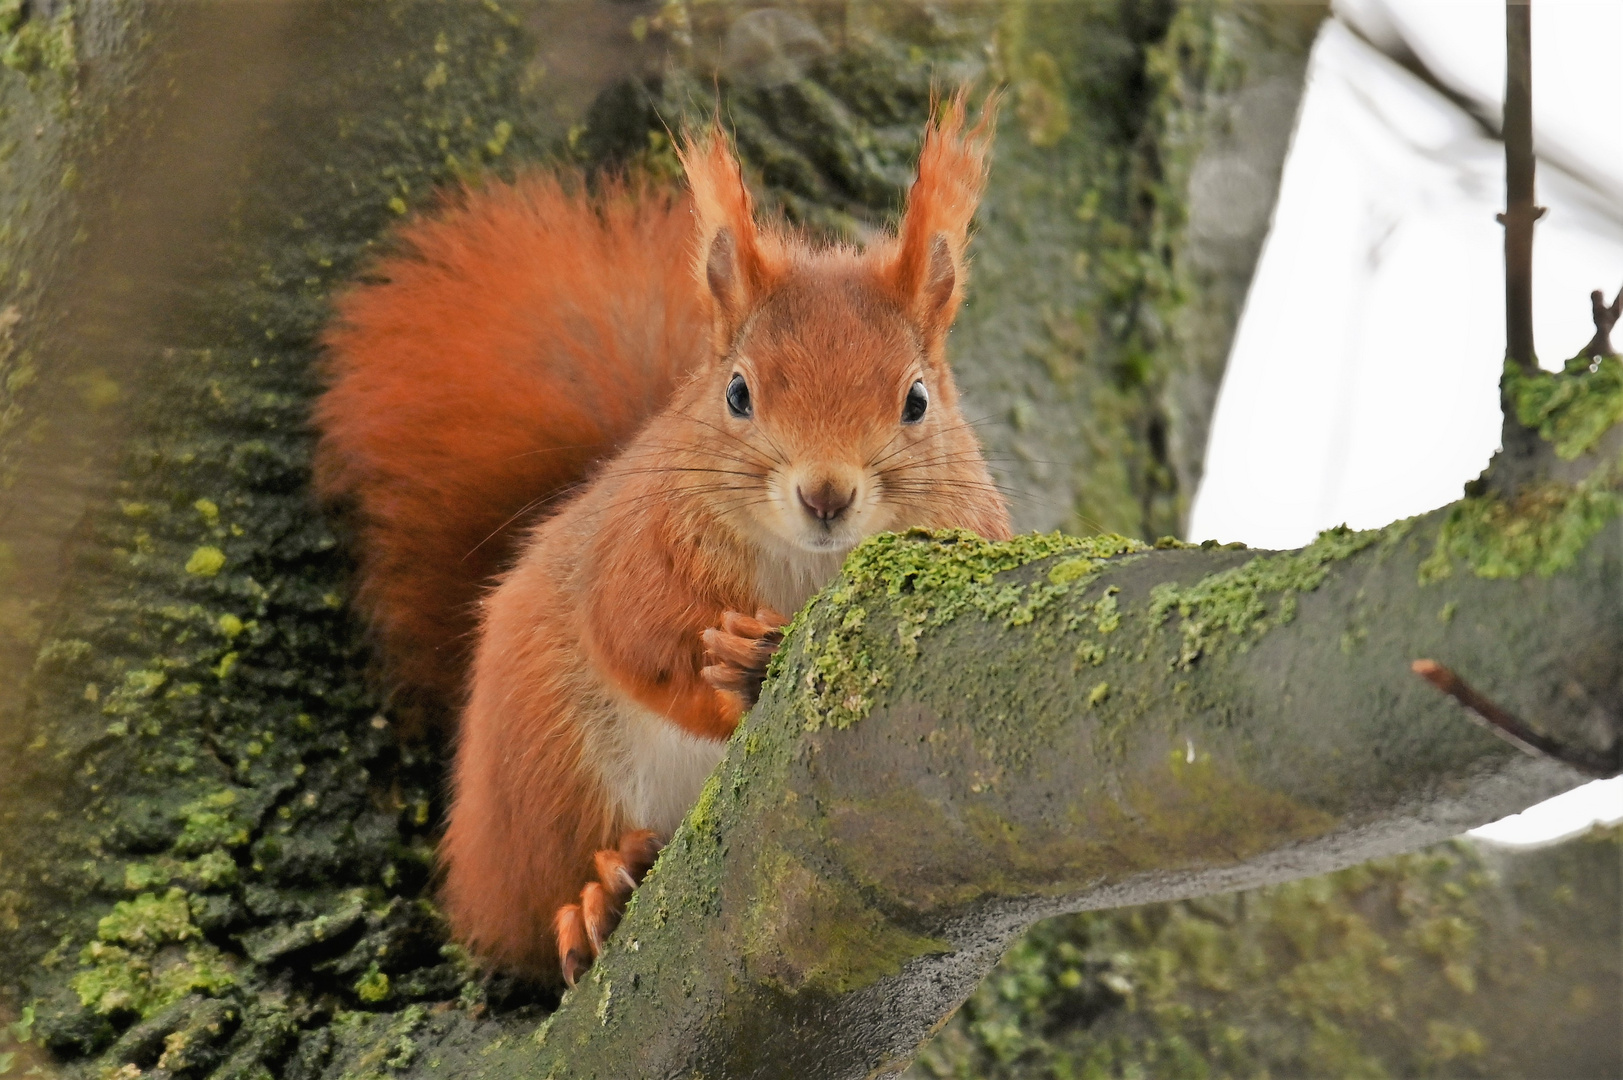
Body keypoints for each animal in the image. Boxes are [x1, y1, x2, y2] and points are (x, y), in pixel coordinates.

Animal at [309, 94, 1006, 987]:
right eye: (738, 393)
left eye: (916, 400)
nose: (825, 494)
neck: (804, 569)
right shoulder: (635, 549)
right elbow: (635, 639)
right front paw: (738, 672)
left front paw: (755, 662)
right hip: (547, 776)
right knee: (527, 919)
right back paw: (597, 897)